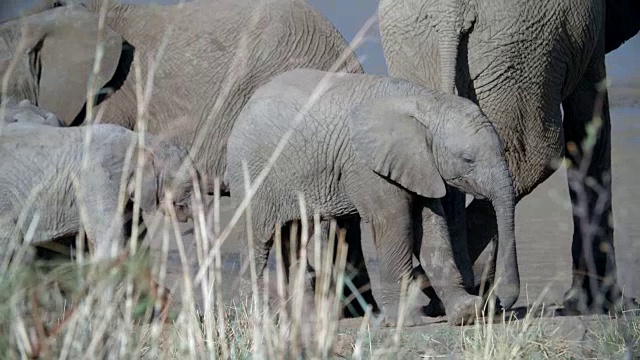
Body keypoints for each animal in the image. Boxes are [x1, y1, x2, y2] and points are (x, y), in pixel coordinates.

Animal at [225, 68, 520, 326]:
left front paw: (467, 313)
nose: (501, 303)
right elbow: (395, 225)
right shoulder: (368, 167)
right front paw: (406, 322)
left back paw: (304, 319)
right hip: (252, 172)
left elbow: (431, 229)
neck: (426, 102)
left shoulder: (420, 166)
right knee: (257, 240)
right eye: (468, 159)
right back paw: (258, 318)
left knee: (295, 237)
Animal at [378, 0, 640, 316]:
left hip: (422, 47)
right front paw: (601, 304)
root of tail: (448, 13)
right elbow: (589, 125)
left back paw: (445, 292)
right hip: (521, 46)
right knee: (535, 159)